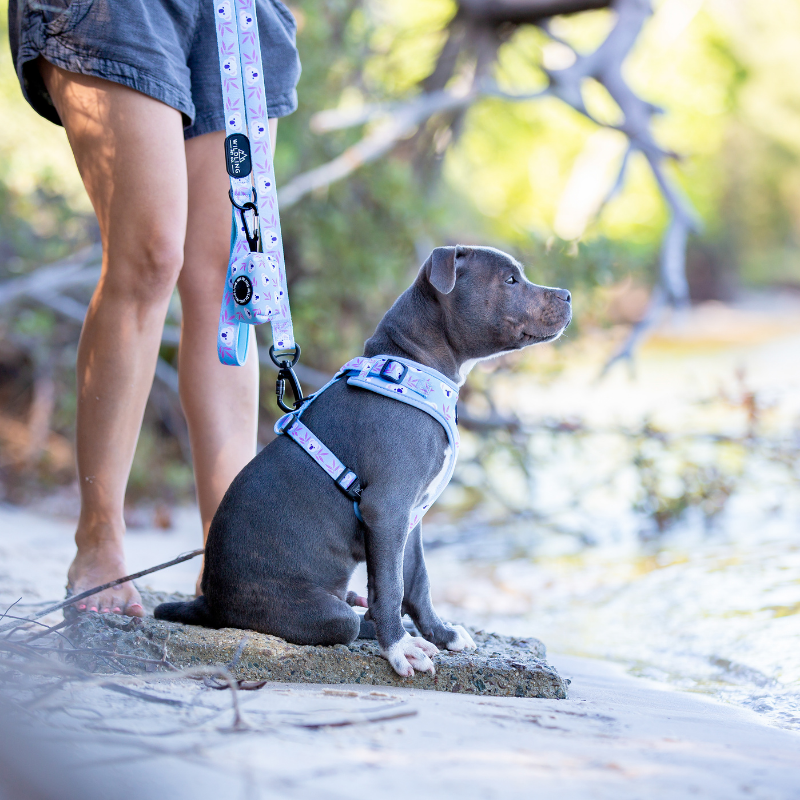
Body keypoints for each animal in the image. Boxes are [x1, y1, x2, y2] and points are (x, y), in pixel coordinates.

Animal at [155, 244, 568, 676]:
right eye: (510, 280)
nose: (568, 295)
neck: (411, 367)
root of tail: (209, 601)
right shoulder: (386, 509)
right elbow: (391, 586)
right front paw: (399, 648)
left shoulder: (409, 516)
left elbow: (416, 580)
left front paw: (440, 634)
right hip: (307, 609)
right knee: (347, 622)